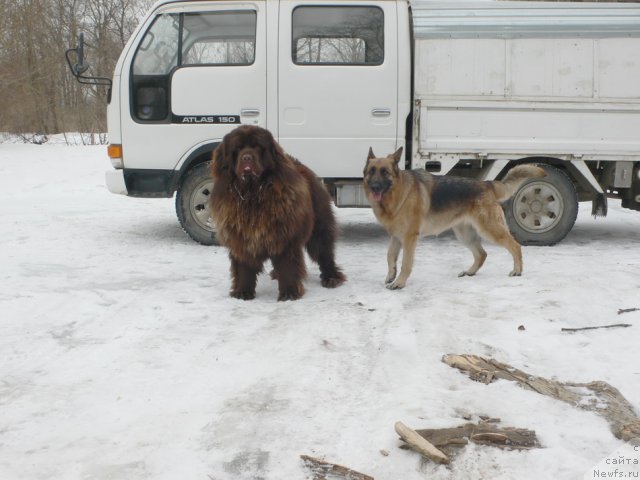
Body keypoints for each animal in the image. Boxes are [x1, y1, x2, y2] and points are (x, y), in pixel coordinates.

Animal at [210, 125, 344, 302]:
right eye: (237, 149)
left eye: (257, 147)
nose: (247, 158)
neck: (252, 194)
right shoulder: (240, 237)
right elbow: (244, 268)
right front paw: (243, 292)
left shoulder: (284, 237)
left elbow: (287, 266)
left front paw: (289, 293)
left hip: (319, 227)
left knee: (324, 252)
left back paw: (331, 278)